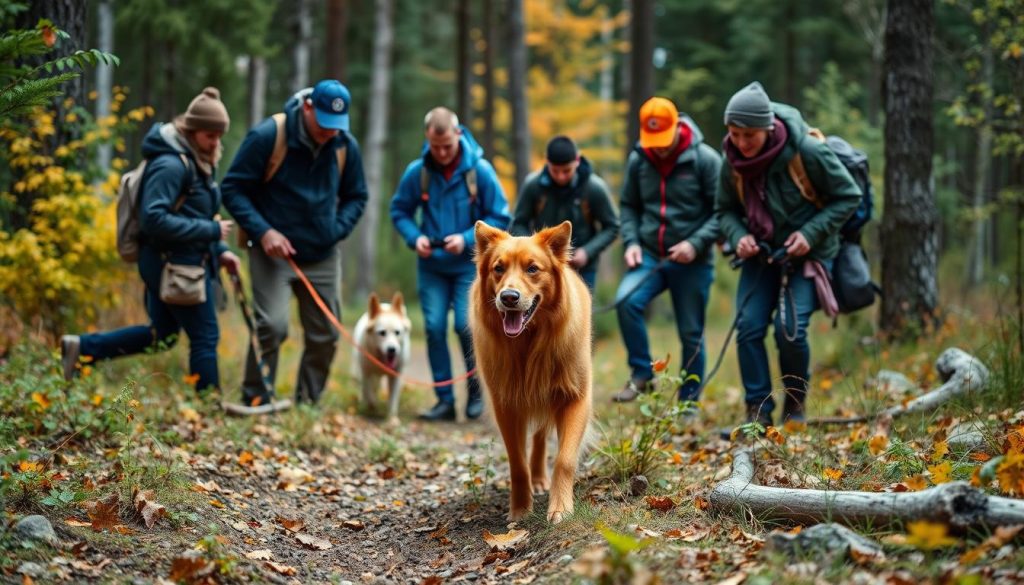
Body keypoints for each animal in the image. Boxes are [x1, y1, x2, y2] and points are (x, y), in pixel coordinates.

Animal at [352, 293, 411, 426]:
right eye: (382, 333)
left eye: (397, 332)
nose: (392, 349)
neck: (381, 361)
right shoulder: (366, 372)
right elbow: (368, 392)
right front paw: (372, 405)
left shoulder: (396, 375)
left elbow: (393, 399)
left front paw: (392, 419)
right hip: (358, 370)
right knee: (363, 387)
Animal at [466, 222, 589, 524]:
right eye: (498, 268)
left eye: (533, 268)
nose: (509, 298)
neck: (528, 344)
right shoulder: (506, 406)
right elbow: (517, 463)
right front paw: (521, 509)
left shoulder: (576, 398)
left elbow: (564, 460)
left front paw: (561, 507)